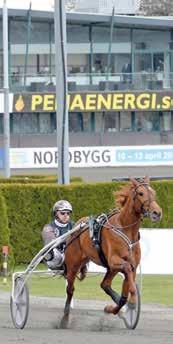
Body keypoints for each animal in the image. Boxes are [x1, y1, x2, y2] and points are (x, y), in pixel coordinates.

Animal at [63, 177, 162, 318]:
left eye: (153, 192)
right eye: (141, 193)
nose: (157, 213)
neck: (126, 229)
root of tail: (77, 226)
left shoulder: (131, 265)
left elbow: (125, 290)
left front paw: (115, 307)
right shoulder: (114, 260)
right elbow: (127, 270)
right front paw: (133, 300)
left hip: (110, 269)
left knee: (104, 284)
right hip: (73, 265)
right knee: (70, 288)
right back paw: (66, 312)